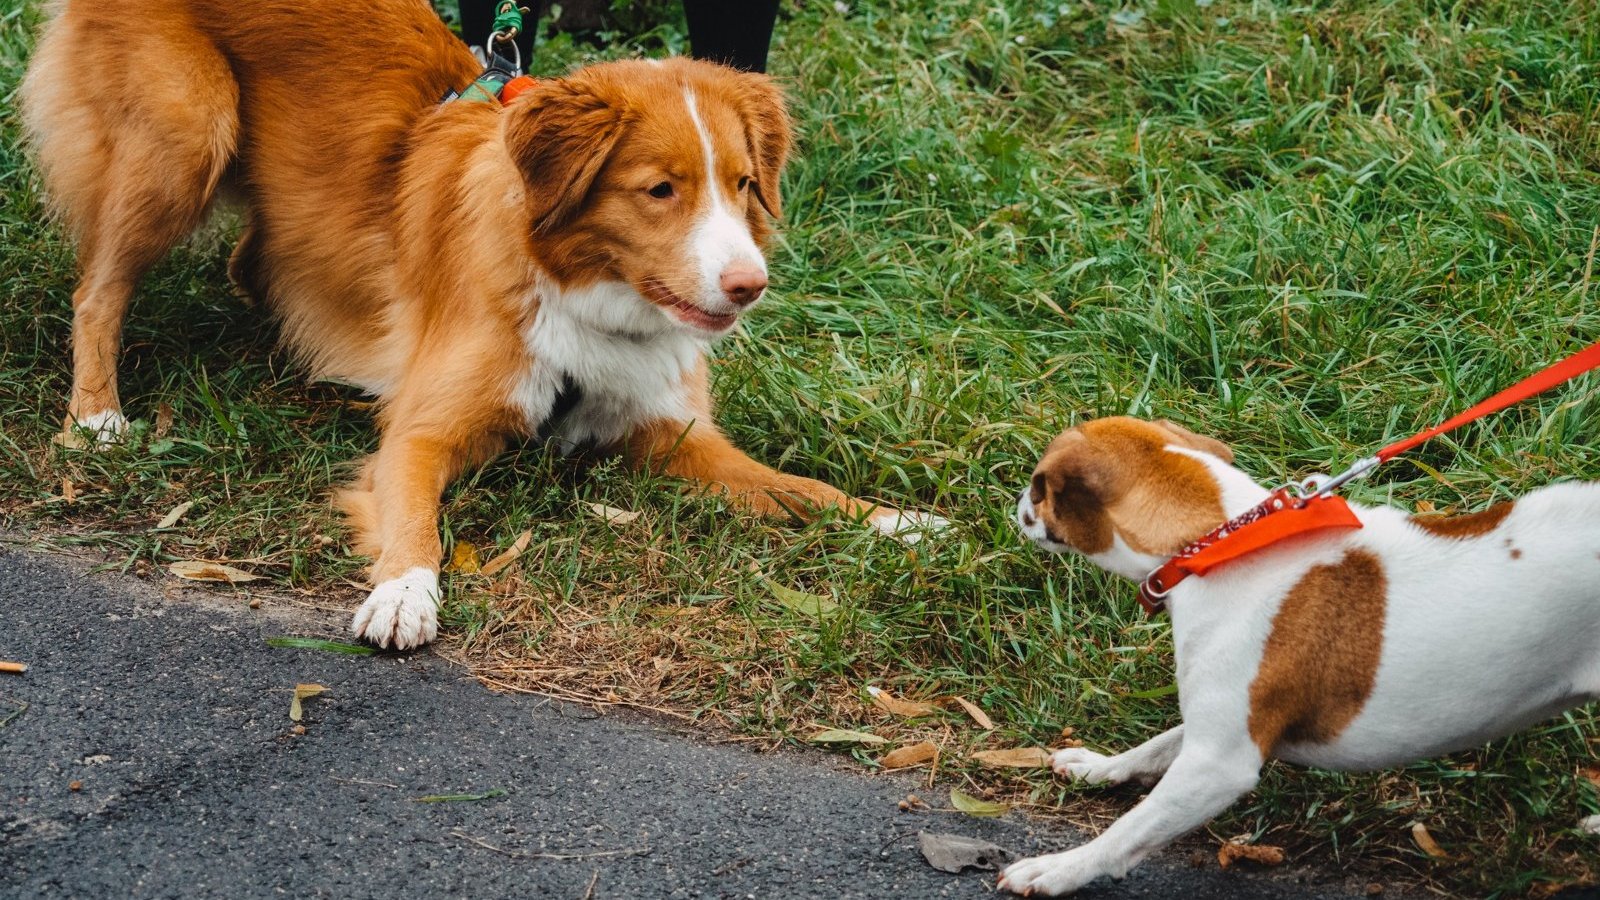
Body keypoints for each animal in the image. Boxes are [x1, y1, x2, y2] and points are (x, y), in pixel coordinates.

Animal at [18, 0, 940, 643]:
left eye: (745, 184)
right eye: (659, 189)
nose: (751, 286)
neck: (583, 294)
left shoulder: (674, 436)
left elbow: (799, 488)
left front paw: (897, 521)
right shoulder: (421, 432)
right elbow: (416, 524)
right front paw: (402, 595)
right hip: (186, 136)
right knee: (98, 290)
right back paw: (97, 414)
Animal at [998, 413, 1600, 890]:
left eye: (1038, 486)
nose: (1014, 503)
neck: (1219, 542)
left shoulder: (1220, 763)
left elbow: (1129, 830)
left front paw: (1061, 868)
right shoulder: (1219, 722)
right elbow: (1154, 746)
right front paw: (1101, 767)